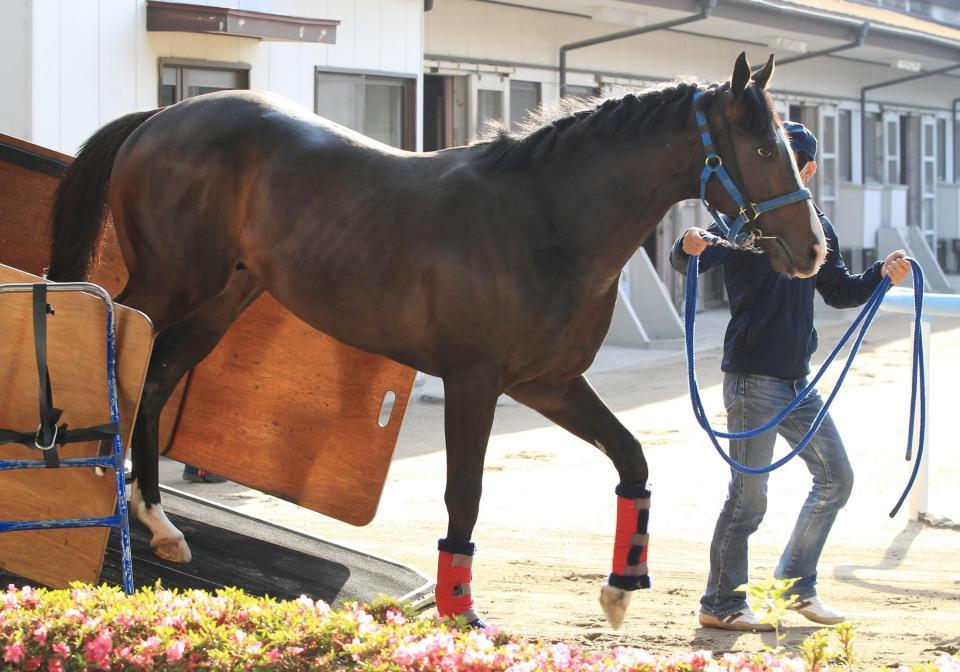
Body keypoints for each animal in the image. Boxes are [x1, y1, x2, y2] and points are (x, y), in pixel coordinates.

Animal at [45, 53, 824, 632]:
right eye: (763, 147)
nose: (814, 251)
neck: (544, 216)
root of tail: (162, 116)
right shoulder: (474, 381)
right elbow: (465, 492)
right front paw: (459, 608)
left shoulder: (548, 384)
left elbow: (632, 458)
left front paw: (620, 586)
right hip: (166, 283)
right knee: (112, 345)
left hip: (223, 297)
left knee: (157, 376)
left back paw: (159, 521)